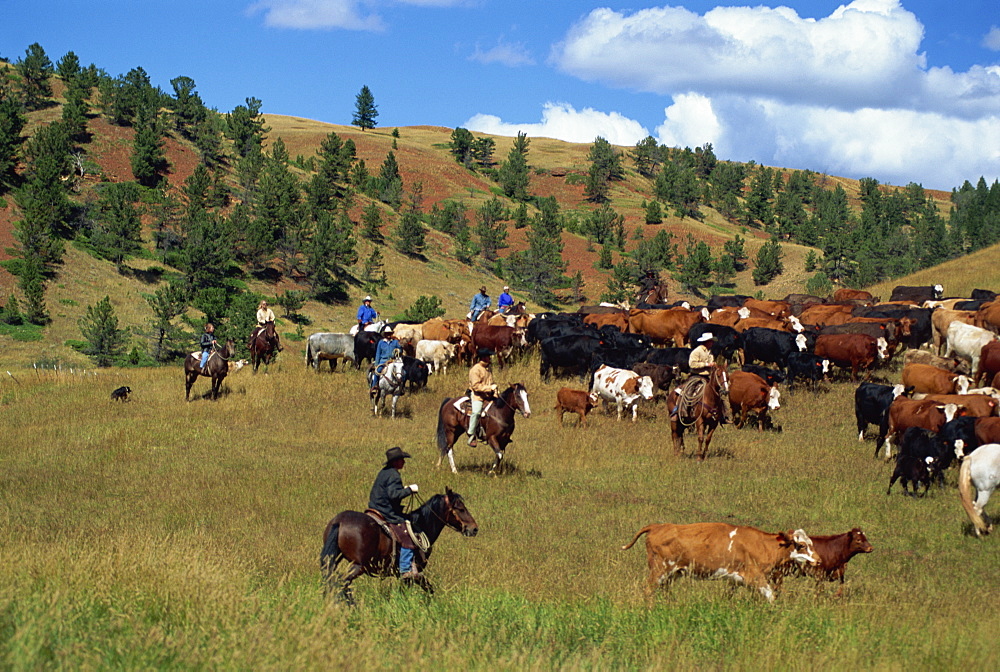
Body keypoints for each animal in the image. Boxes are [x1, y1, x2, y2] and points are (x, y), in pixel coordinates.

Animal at [318, 486, 478, 608]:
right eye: (461, 508)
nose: (474, 528)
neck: (420, 525)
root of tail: (339, 522)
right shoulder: (414, 573)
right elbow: (427, 589)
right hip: (358, 565)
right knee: (342, 582)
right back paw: (352, 606)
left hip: (335, 559)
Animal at [624, 520, 820, 604]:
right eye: (801, 545)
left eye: (811, 542)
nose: (818, 560)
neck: (763, 544)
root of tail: (658, 526)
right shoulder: (755, 577)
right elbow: (771, 596)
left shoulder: (737, 580)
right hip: (659, 570)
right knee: (648, 590)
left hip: (673, 573)